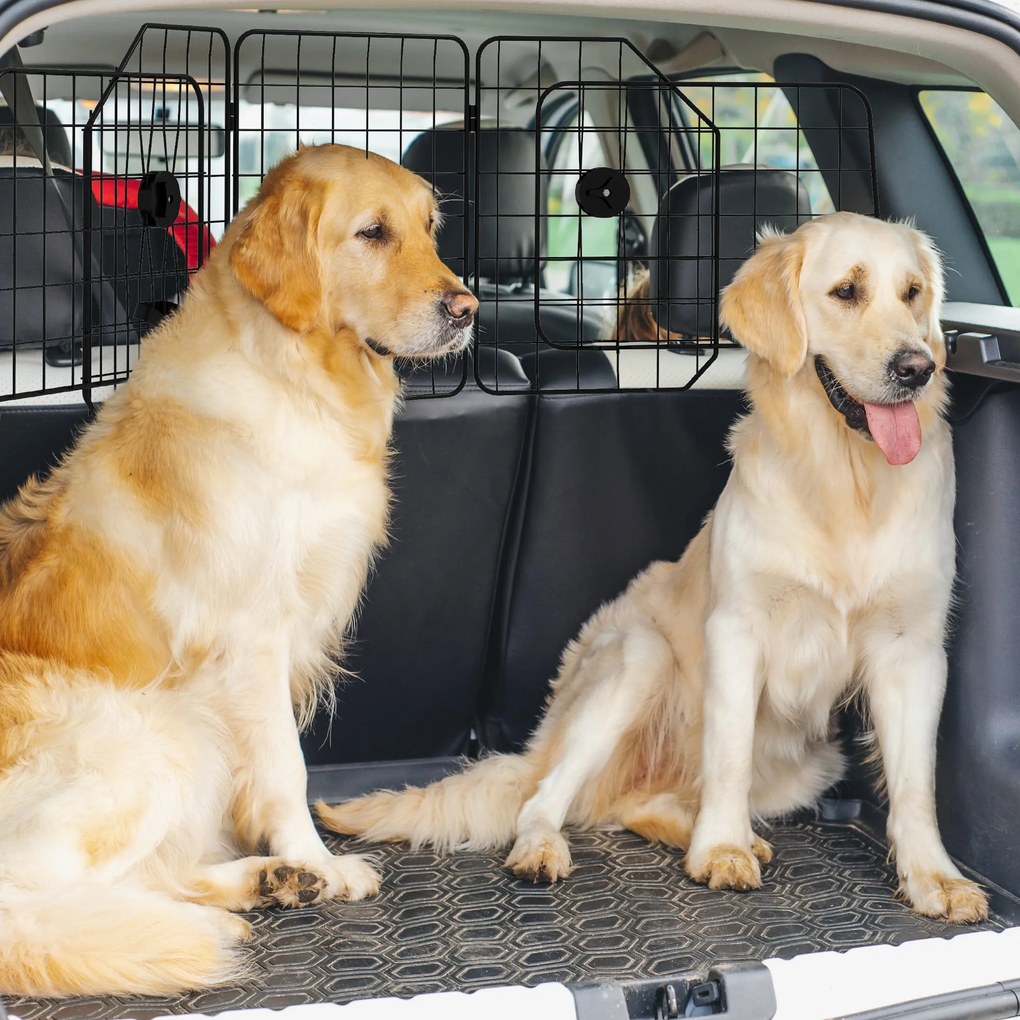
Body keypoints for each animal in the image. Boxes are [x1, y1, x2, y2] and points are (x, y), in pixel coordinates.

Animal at [0, 143, 477, 995]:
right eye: (372, 232)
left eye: (430, 228)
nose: (469, 309)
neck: (295, 374)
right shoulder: (251, 634)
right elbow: (286, 768)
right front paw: (317, 858)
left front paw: (301, 867)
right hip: (148, 737)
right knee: (41, 895)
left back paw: (261, 884)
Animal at [324, 213, 987, 926]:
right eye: (846, 292)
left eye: (913, 293)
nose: (918, 368)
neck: (845, 478)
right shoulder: (737, 629)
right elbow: (728, 754)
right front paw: (721, 849)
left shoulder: (913, 647)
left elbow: (916, 784)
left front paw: (934, 877)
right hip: (636, 658)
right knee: (545, 798)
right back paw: (551, 849)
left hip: (814, 760)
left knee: (636, 805)